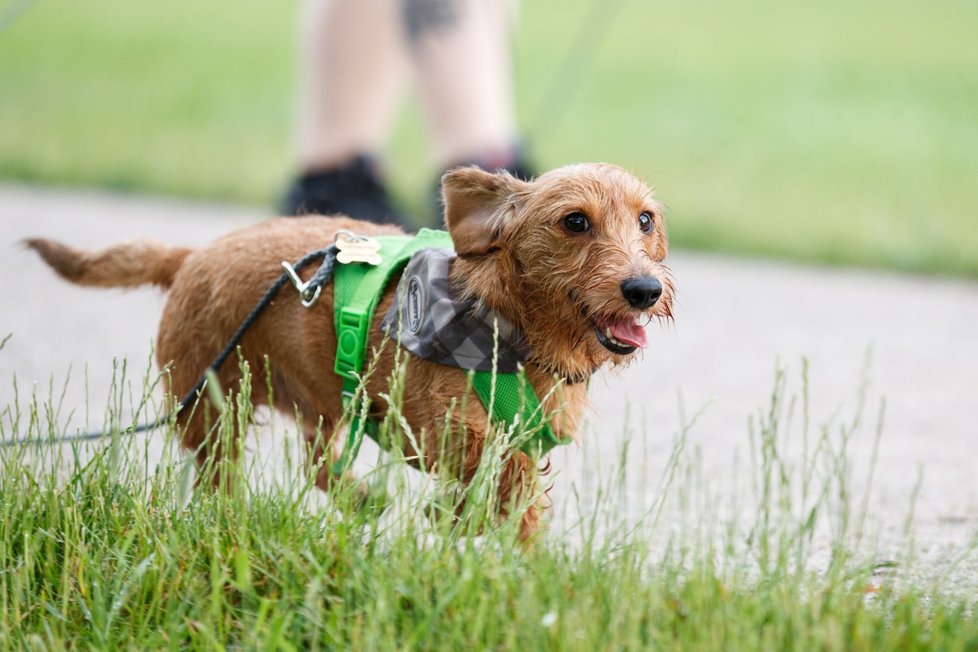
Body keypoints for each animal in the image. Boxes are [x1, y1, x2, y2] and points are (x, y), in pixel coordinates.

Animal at [28, 164, 672, 540]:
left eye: (645, 220)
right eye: (575, 222)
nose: (645, 289)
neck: (506, 324)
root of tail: (188, 257)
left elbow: (500, 485)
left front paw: (460, 519)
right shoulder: (439, 431)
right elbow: (506, 479)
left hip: (323, 404)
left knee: (315, 464)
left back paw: (361, 500)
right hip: (213, 413)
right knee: (224, 479)